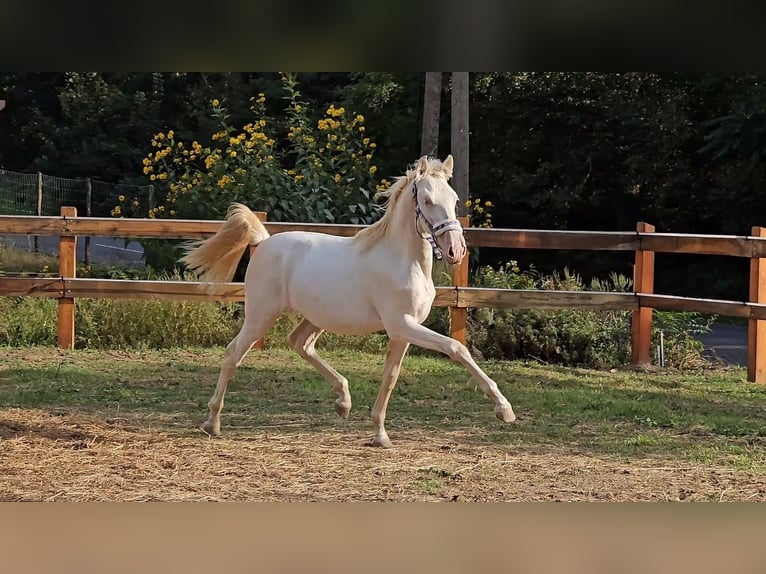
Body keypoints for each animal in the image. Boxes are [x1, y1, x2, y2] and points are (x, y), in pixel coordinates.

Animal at [180, 155, 516, 448]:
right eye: (427, 201)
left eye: (455, 200)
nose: (455, 251)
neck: (403, 261)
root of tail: (263, 242)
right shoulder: (402, 325)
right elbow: (457, 348)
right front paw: (504, 410)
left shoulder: (402, 332)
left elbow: (391, 377)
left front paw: (380, 435)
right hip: (260, 315)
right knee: (233, 354)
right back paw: (212, 423)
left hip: (316, 317)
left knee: (299, 343)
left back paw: (343, 401)